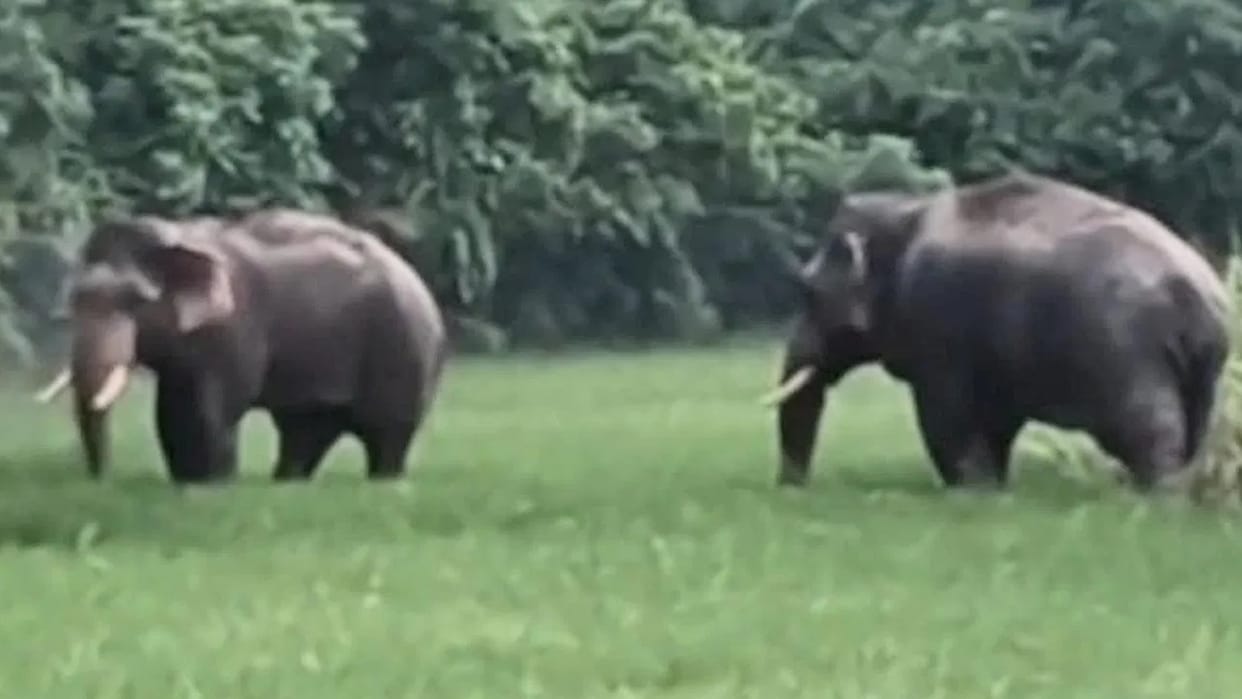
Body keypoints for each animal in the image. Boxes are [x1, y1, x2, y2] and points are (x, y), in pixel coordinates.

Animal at [36, 208, 448, 484]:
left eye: (135, 301)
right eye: (75, 300)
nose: (100, 479)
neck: (178, 235)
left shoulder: (235, 330)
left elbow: (211, 412)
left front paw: (215, 484)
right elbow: (170, 414)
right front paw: (187, 483)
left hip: (405, 350)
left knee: (387, 439)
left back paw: (385, 482)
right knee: (304, 437)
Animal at [762, 172, 1232, 491]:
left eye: (808, 291)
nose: (792, 489)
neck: (906, 210)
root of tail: (1196, 294)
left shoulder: (937, 321)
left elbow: (944, 415)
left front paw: (970, 491)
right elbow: (996, 420)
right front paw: (996, 490)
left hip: (1126, 352)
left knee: (1150, 431)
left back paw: (1154, 501)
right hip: (1201, 368)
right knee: (1192, 432)